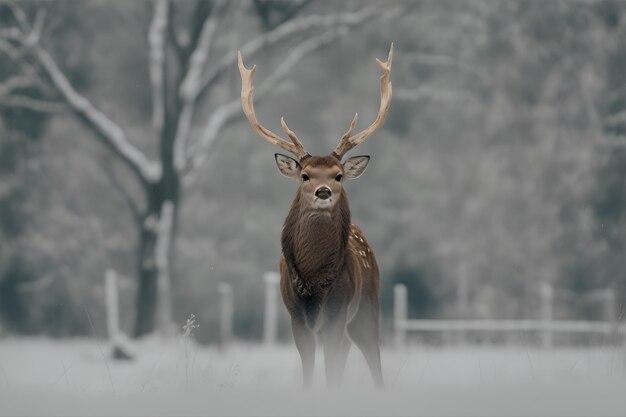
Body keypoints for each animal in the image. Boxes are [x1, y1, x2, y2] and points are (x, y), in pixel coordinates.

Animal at [238, 43, 390, 386]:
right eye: (305, 175)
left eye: (338, 176)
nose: (323, 192)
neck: (313, 283)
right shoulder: (296, 318)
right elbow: (309, 372)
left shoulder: (338, 313)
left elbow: (332, 373)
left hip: (367, 308)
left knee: (375, 363)